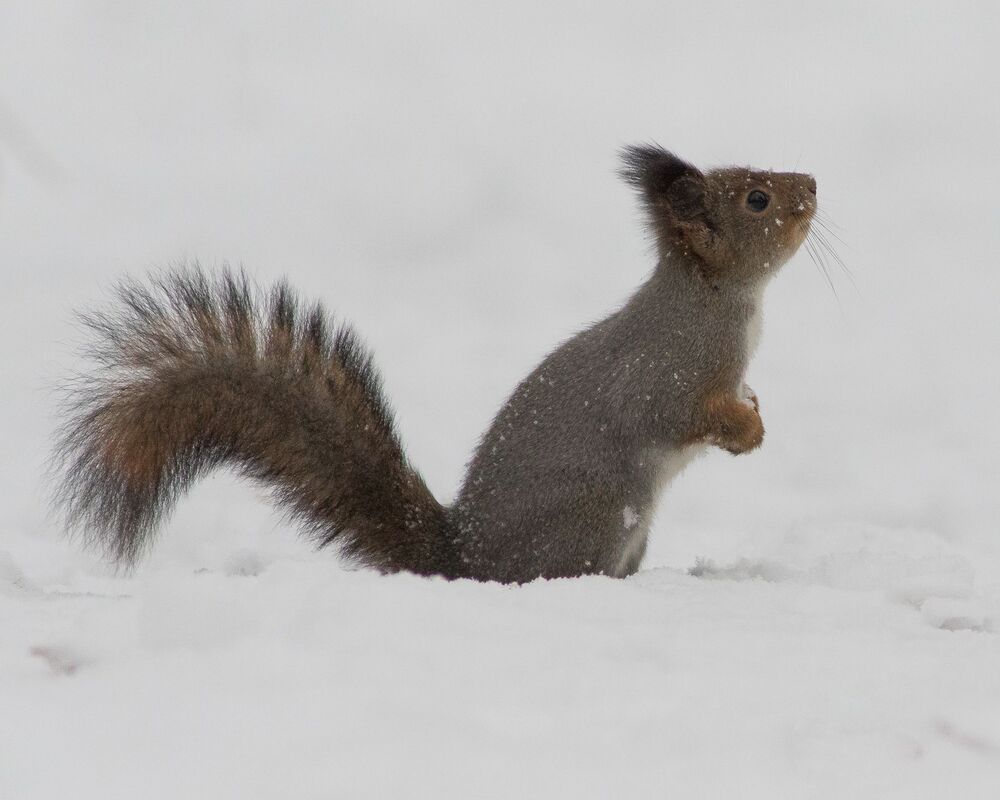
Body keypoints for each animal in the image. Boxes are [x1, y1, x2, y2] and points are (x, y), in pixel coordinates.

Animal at [53, 145, 816, 583]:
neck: (720, 300)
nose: (811, 183)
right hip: (598, 517)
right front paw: (745, 431)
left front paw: (756, 411)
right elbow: (683, 414)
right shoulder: (670, 373)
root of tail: (463, 558)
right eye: (757, 200)